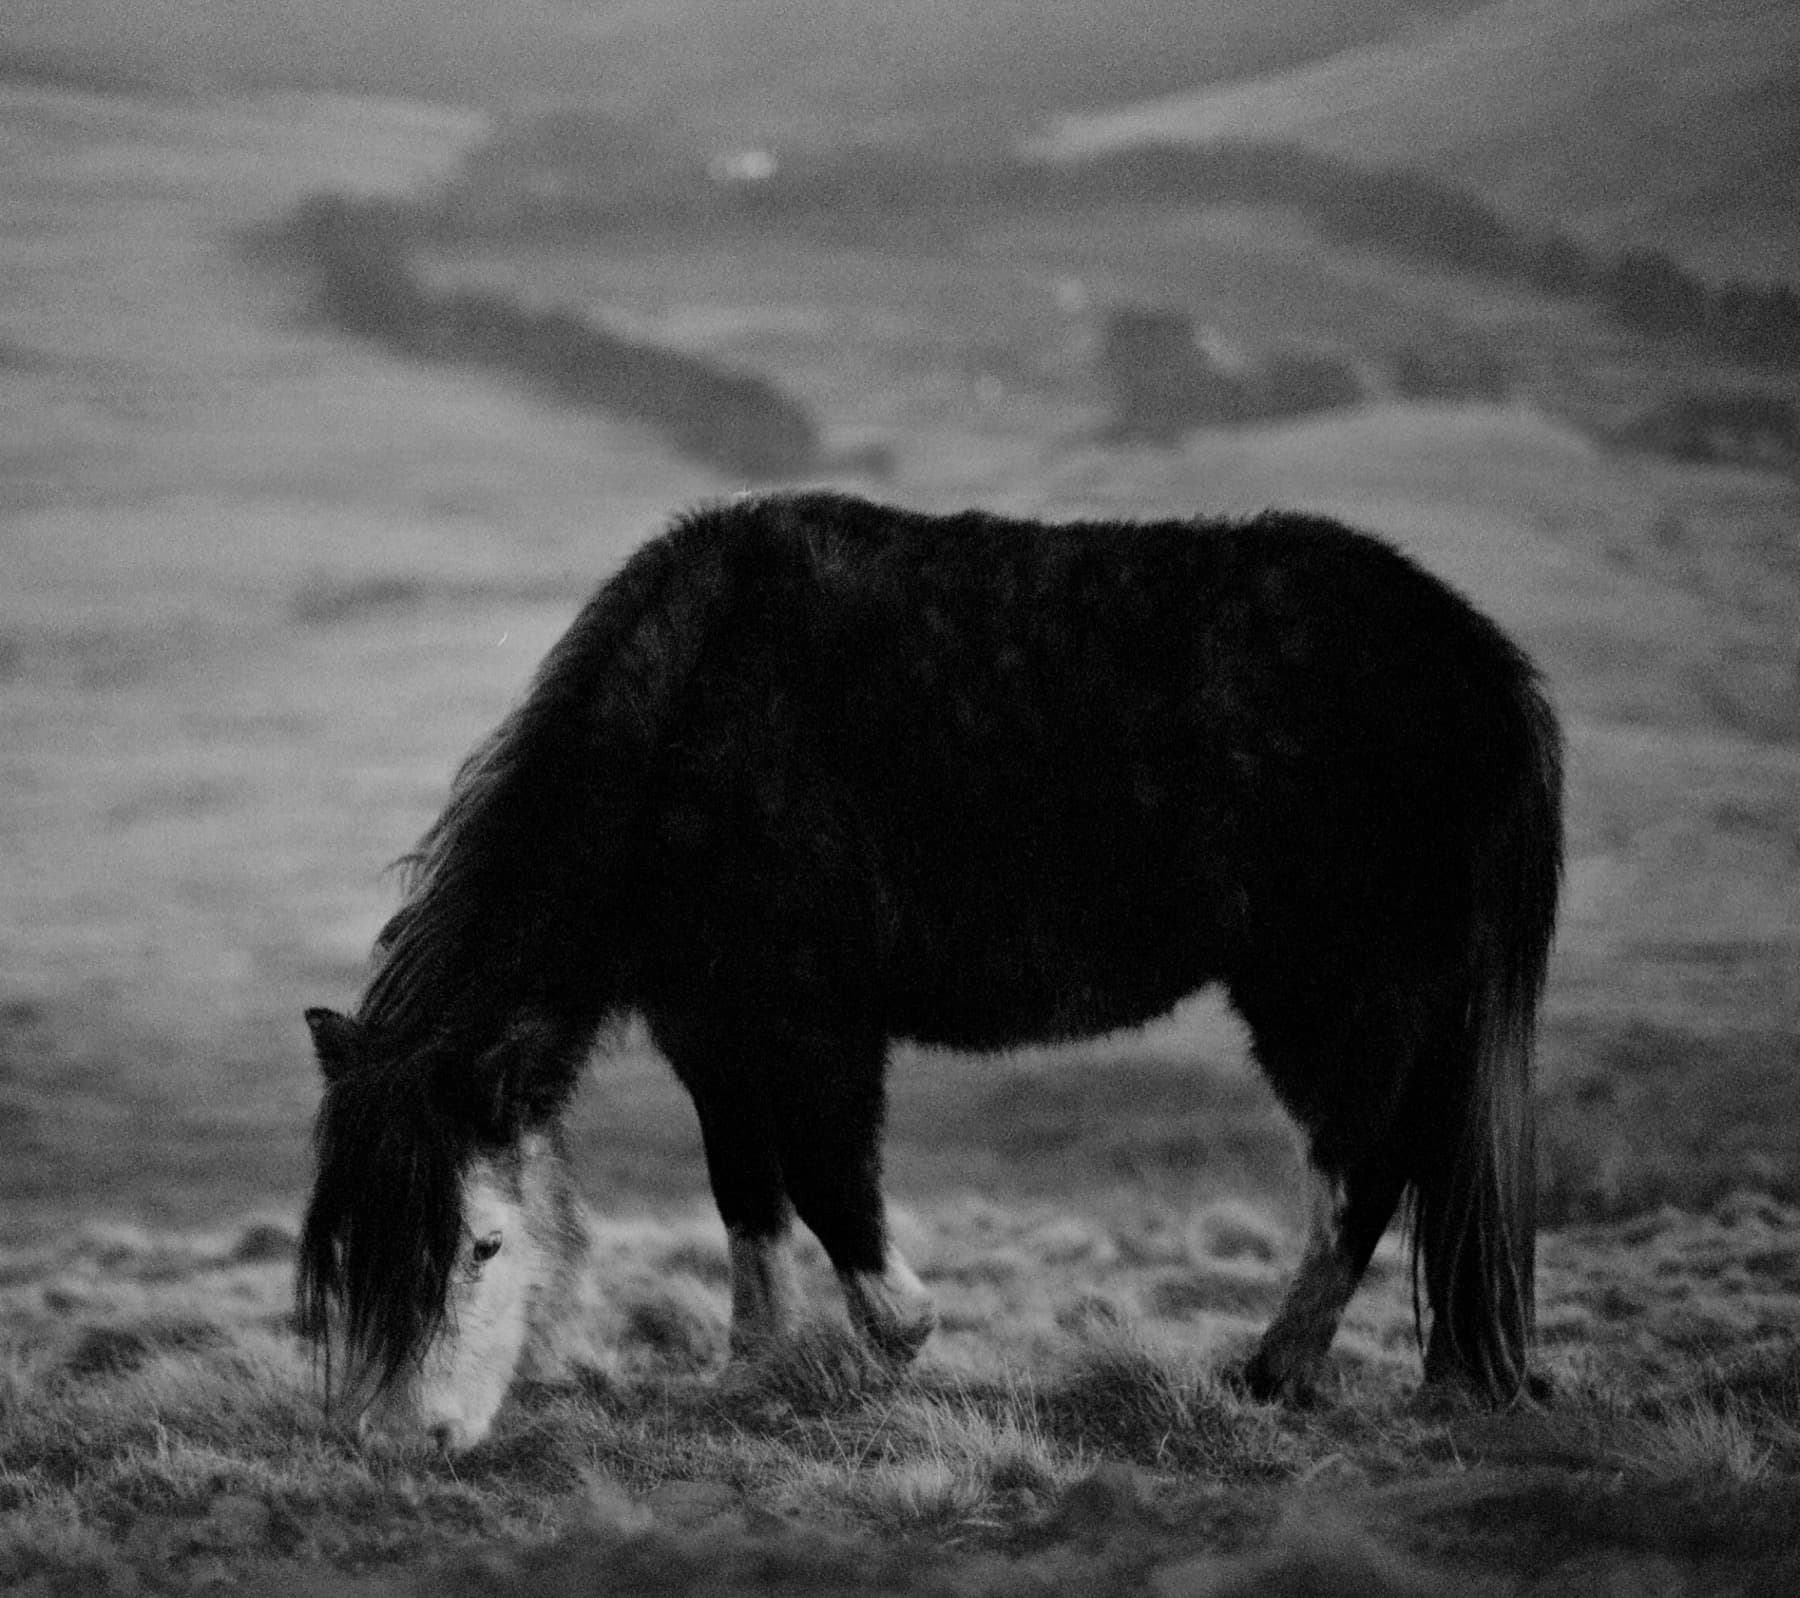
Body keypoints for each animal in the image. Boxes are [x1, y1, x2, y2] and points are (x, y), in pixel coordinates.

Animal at [299, 489, 1563, 1451]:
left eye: (484, 1242)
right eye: (357, 1247)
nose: (408, 1438)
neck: (682, 730)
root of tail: (1479, 667)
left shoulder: (819, 1024)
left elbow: (828, 1179)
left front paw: (899, 1339)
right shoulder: (709, 1030)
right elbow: (745, 1196)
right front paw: (752, 1367)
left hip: (1332, 995)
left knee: (1366, 1164)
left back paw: (1273, 1370)